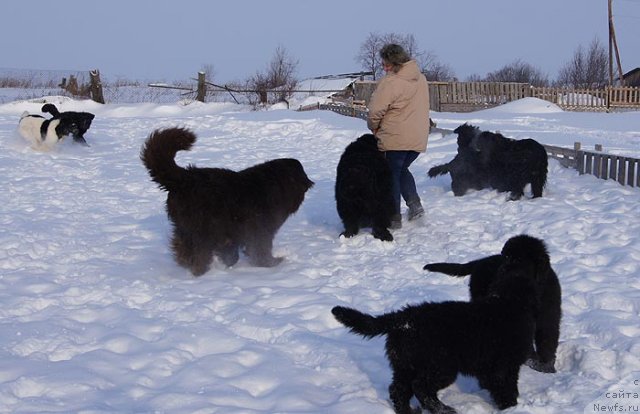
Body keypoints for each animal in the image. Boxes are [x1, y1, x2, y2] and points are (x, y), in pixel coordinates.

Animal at [141, 126, 314, 274]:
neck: (277, 184)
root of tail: (184, 178)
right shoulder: (260, 231)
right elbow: (260, 250)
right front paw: (271, 263)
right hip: (203, 231)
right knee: (200, 254)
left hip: (185, 230)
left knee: (183, 250)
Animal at [332, 266, 536, 412]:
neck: (507, 303)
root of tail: (403, 318)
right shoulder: (503, 365)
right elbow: (506, 388)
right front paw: (510, 407)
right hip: (441, 366)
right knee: (421, 387)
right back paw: (443, 409)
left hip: (405, 365)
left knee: (398, 390)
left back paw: (409, 412)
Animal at [424, 234, 560, 374]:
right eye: (505, 257)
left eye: (518, 259)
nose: (501, 270)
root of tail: (480, 261)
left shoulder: (549, 316)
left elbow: (548, 340)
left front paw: (547, 367)